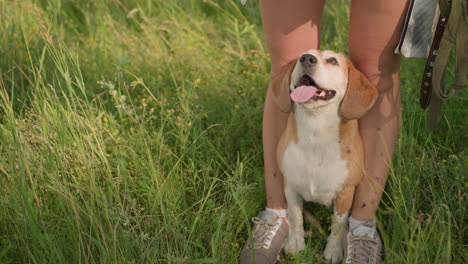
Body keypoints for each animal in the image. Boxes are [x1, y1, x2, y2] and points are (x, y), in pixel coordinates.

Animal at [274, 49, 376, 262]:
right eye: (301, 56)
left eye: (332, 61)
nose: (306, 59)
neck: (316, 131)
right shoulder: (290, 186)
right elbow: (295, 216)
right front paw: (295, 244)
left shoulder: (345, 193)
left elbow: (337, 225)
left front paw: (333, 252)